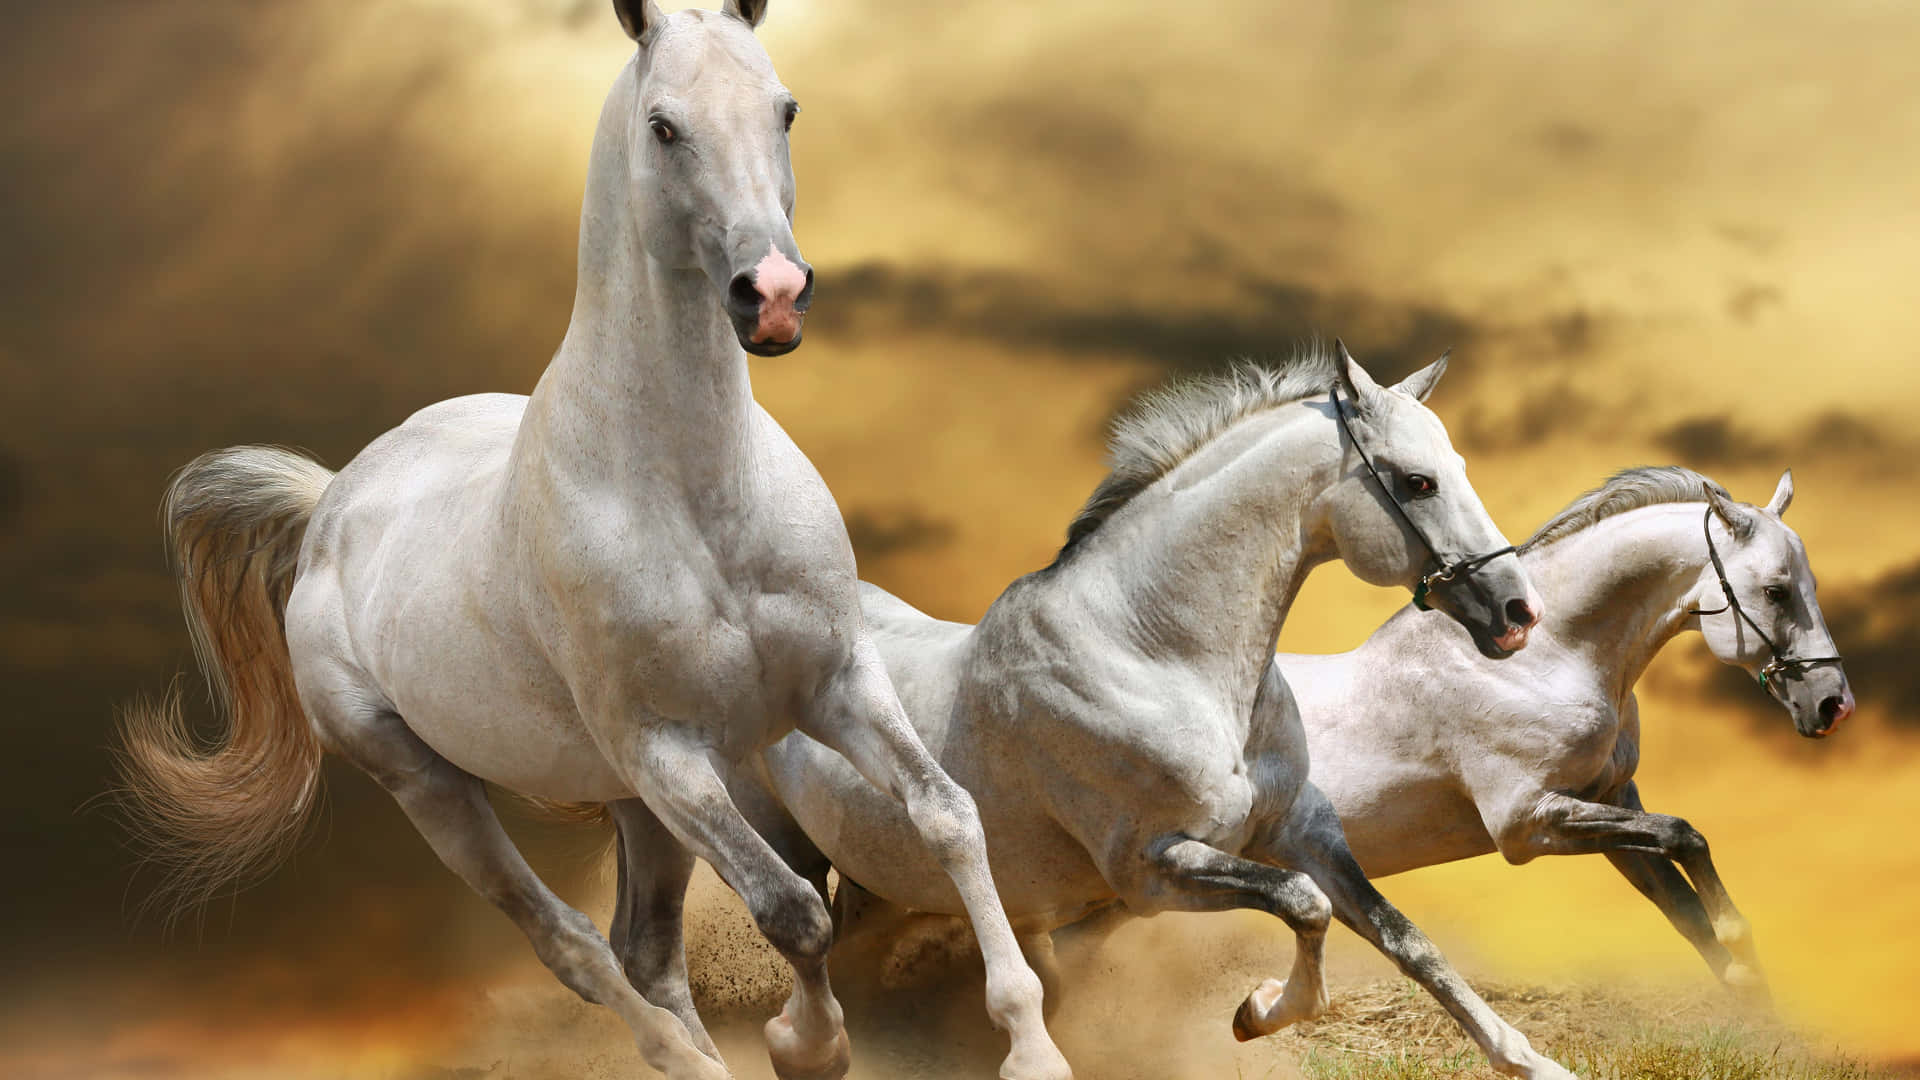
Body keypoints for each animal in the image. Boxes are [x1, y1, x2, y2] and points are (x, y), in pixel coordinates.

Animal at [114, 4, 1069, 1079]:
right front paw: (808, 1044)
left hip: (632, 805)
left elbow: (947, 815)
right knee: (572, 945)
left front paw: (1032, 1044)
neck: (699, 500)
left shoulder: (836, 684)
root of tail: (330, 507)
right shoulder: (666, 750)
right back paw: (688, 1057)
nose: (774, 294)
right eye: (663, 126)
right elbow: (791, 908)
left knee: (643, 949)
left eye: (785, 108)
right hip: (436, 784)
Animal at [729, 345, 1582, 1079]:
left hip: (874, 884)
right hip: (782, 841)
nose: (1518, 613)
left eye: (1456, 467)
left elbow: (1401, 935)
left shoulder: (1299, 827)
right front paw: (1258, 1011)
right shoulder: (1153, 868)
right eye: (1416, 482)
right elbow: (1304, 906)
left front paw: (1534, 1062)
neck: (1158, 654)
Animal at [1283, 466, 1853, 994]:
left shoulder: (1610, 802)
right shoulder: (1528, 822)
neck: (1543, 659)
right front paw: (1740, 946)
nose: (1834, 705)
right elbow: (1685, 837)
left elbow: (1688, 913)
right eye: (1776, 591)